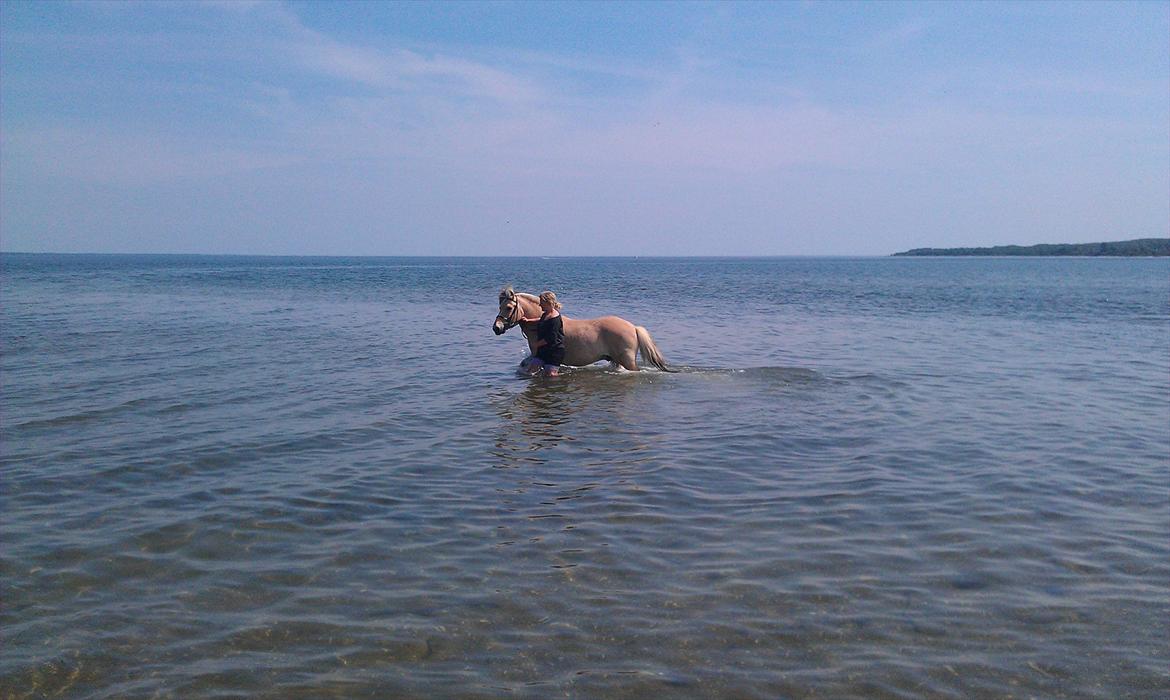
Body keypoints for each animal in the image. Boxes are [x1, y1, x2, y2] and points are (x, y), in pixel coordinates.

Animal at [493, 286, 678, 376]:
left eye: (508, 307)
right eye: (499, 306)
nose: (497, 327)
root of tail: (633, 327)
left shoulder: (538, 355)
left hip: (628, 361)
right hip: (616, 360)